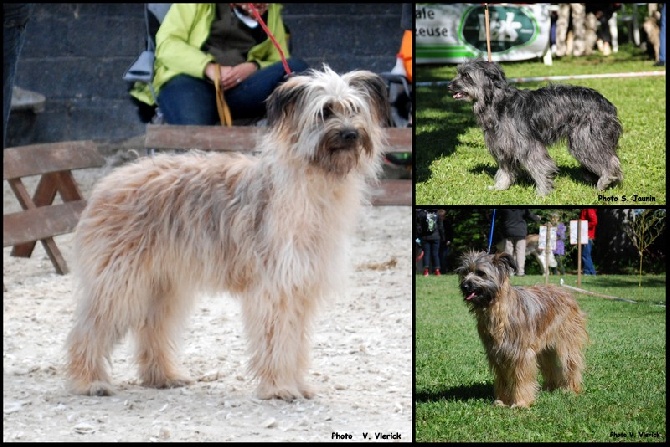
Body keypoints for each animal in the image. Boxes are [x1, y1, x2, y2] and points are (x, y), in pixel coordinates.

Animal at [452, 58, 624, 195]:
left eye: (466, 76)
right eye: (458, 73)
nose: (449, 85)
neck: (498, 103)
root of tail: (607, 104)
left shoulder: (528, 145)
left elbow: (540, 166)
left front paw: (542, 192)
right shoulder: (503, 147)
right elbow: (505, 170)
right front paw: (500, 187)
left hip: (585, 139)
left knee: (611, 160)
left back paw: (605, 180)